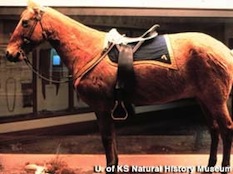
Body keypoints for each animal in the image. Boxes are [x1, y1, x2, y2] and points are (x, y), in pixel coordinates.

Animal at [4, 1, 233, 173]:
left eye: (25, 22)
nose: (9, 53)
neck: (88, 49)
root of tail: (226, 50)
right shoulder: (108, 108)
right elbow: (112, 139)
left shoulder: (101, 107)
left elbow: (107, 139)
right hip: (204, 99)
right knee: (214, 129)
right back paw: (210, 165)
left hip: (215, 99)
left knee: (226, 129)